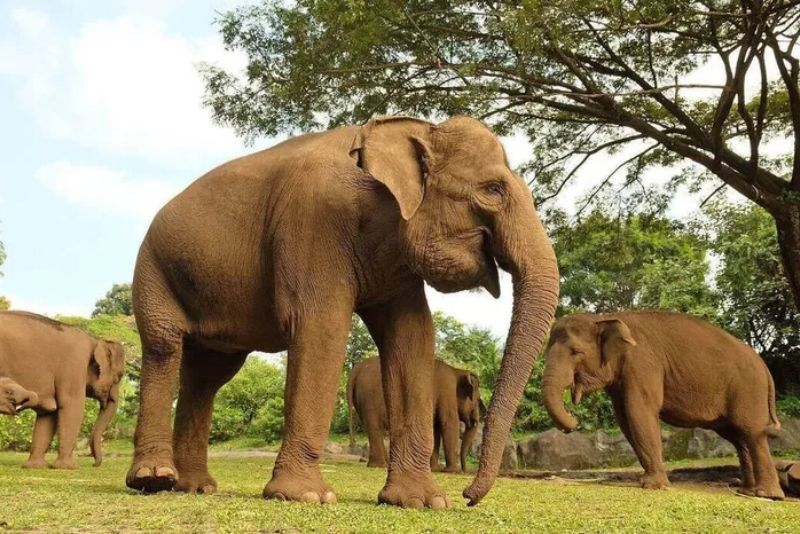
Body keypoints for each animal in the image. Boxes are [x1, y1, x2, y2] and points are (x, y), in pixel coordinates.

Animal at [0, 312, 126, 472]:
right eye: (119, 377)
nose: (94, 464)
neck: (95, 340)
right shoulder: (74, 365)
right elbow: (71, 406)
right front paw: (68, 467)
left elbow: (48, 414)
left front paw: (36, 467)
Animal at [346, 360, 484, 474]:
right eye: (477, 399)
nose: (465, 470)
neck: (456, 371)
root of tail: (356, 369)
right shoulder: (446, 392)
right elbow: (449, 423)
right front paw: (452, 471)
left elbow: (435, 429)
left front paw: (435, 469)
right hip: (370, 398)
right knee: (375, 428)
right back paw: (379, 465)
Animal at [544, 312, 780, 500]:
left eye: (576, 352)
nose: (573, 421)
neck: (605, 316)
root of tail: (764, 367)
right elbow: (625, 420)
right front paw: (650, 481)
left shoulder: (642, 364)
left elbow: (640, 411)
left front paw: (654, 486)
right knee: (738, 437)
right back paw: (747, 491)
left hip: (748, 390)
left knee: (752, 432)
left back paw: (766, 495)